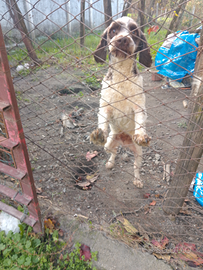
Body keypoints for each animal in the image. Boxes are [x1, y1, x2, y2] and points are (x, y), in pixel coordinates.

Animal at [90, 16, 151, 188]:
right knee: (114, 152)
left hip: (139, 154)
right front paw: (99, 132)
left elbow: (140, 122)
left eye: (134, 31)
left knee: (136, 167)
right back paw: (110, 163)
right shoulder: (105, 107)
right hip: (108, 144)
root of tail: (124, 140)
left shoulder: (139, 108)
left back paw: (137, 180)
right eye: (113, 30)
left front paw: (141, 134)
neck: (122, 77)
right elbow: (102, 122)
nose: (123, 39)